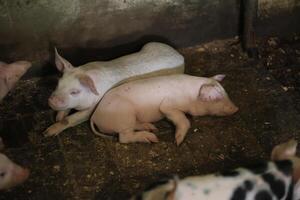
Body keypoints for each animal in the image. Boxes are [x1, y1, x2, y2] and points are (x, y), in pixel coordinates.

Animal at [44, 41, 184, 137]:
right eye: (58, 84)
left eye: (75, 92)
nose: (52, 100)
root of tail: (179, 55)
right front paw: (57, 118)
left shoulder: (93, 107)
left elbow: (72, 119)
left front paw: (47, 133)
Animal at [90, 73, 238, 145]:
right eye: (216, 97)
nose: (236, 108)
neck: (190, 98)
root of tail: (95, 116)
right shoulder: (167, 106)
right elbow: (183, 120)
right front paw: (177, 142)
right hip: (125, 116)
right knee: (124, 138)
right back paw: (153, 138)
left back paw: (152, 128)